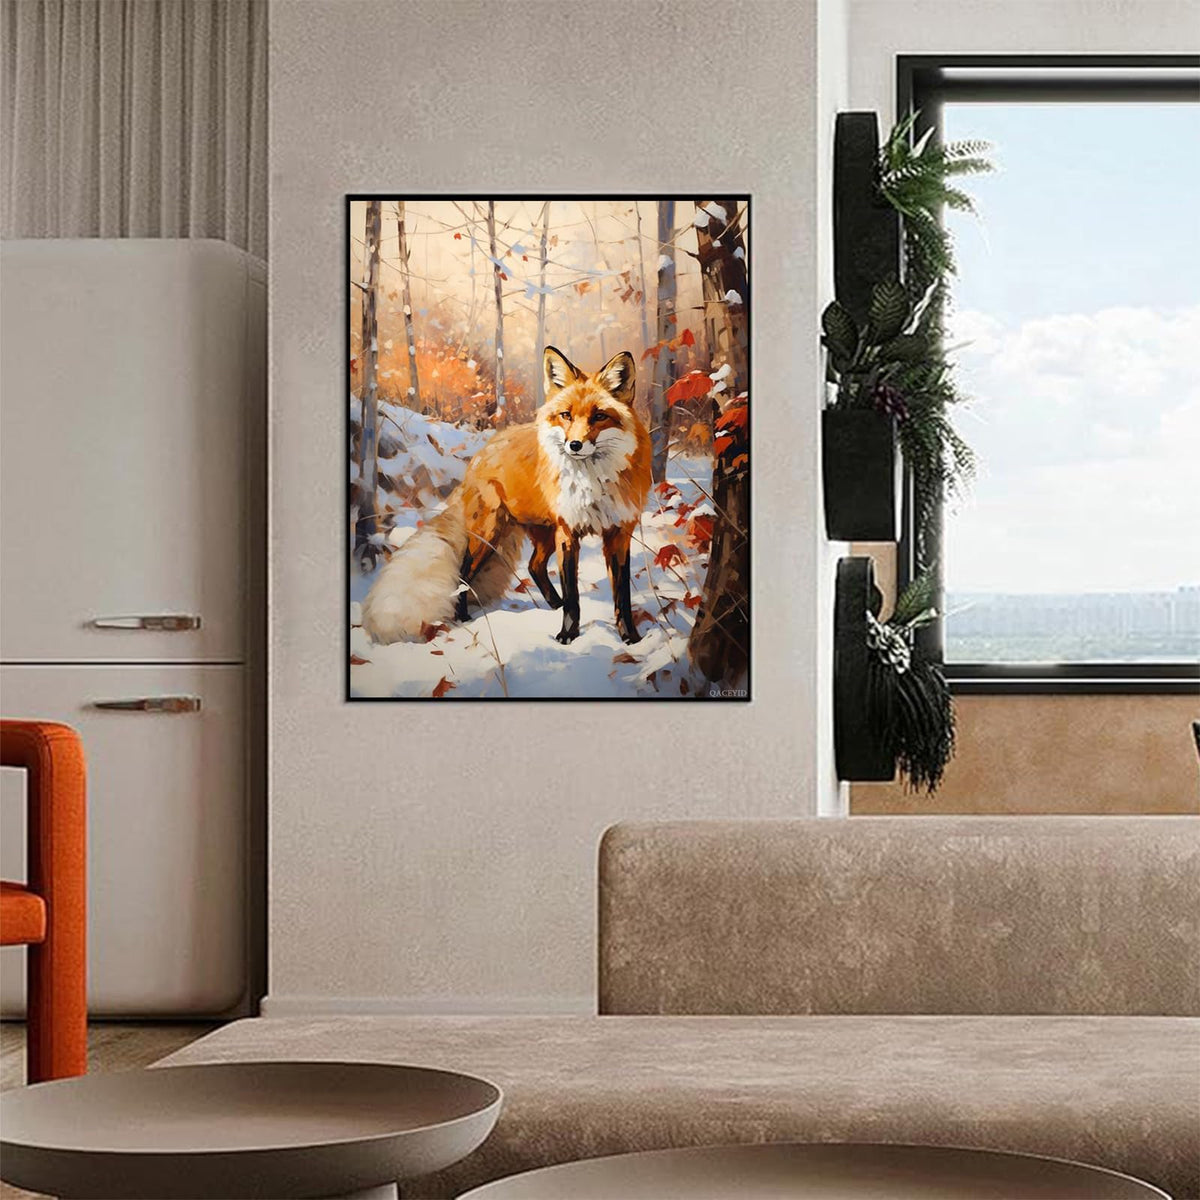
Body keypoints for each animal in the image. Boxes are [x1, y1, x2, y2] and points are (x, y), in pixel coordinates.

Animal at [361, 345, 653, 647]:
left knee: (534, 566)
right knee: (464, 574)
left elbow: (622, 595)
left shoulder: (619, 533)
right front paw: (567, 636)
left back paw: (552, 605)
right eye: (566, 415)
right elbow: (573, 596)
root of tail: (481, 453)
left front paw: (630, 637)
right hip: (490, 535)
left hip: (542, 534)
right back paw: (463, 617)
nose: (574, 445)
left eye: (599, 416)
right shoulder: (568, 532)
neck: (593, 484)